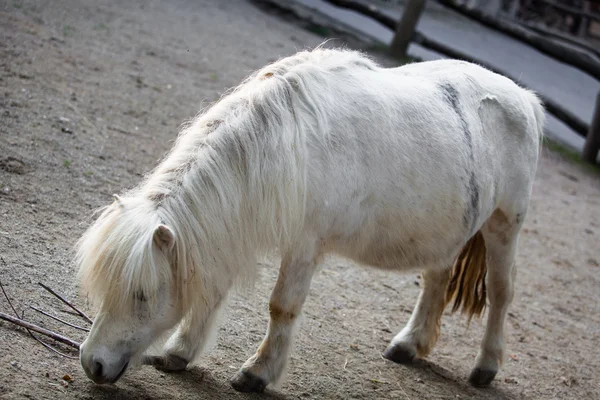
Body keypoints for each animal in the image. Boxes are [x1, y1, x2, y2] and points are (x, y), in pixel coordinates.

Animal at [74, 46, 544, 390]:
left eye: (142, 295)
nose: (92, 363)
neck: (287, 139)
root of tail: (525, 99)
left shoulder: (304, 247)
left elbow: (282, 306)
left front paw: (257, 373)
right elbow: (214, 288)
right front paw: (180, 353)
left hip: (505, 225)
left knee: (501, 292)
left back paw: (485, 368)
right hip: (448, 232)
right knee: (436, 281)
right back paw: (410, 345)